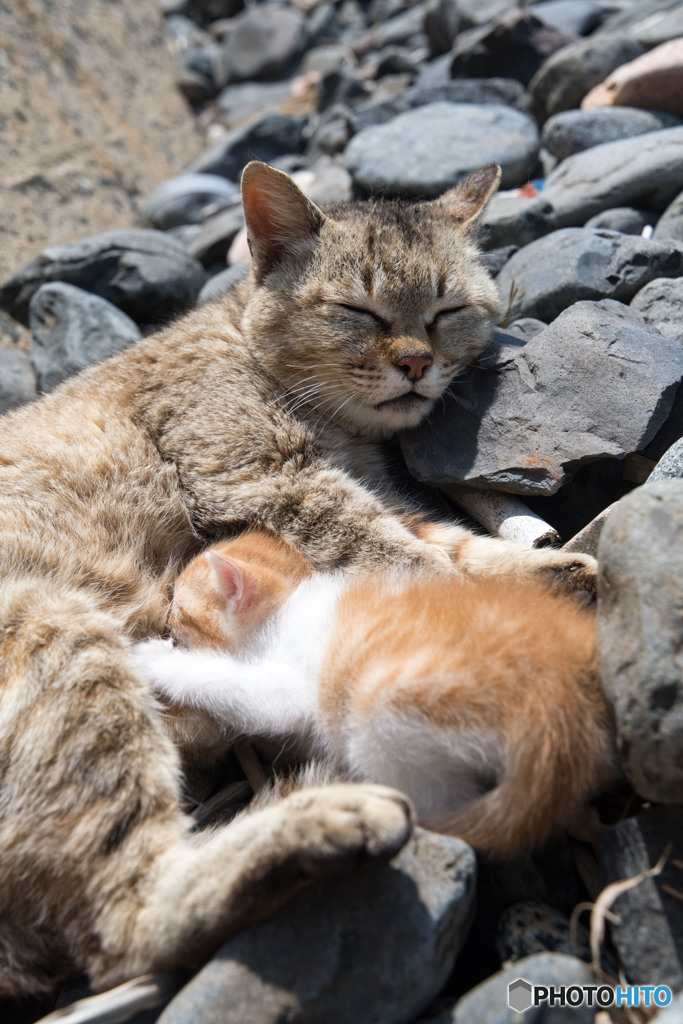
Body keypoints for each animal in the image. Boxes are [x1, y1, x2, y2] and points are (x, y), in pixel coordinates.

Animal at [136, 532, 618, 860]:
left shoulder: (293, 681)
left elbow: (235, 685)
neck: (285, 610)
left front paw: (156, 659)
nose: (166, 622)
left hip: (379, 710)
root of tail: (556, 708)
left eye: (179, 609)